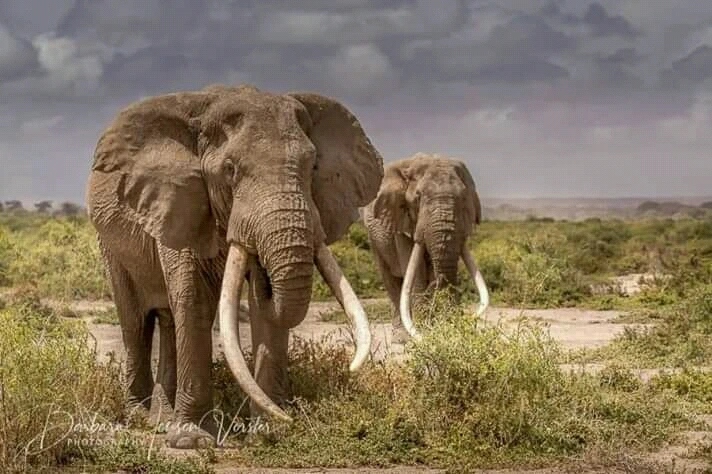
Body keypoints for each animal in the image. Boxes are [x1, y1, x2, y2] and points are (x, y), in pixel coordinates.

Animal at [86, 84, 384, 448]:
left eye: (312, 166)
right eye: (230, 170)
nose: (290, 415)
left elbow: (262, 312)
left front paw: (272, 432)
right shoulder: (179, 201)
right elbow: (194, 298)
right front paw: (192, 441)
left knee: (168, 319)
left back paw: (161, 420)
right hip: (109, 242)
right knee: (135, 320)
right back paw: (139, 418)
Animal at [361, 153, 489, 342]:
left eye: (463, 197)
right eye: (418, 197)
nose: (436, 285)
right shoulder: (400, 221)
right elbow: (416, 271)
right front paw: (425, 333)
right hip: (374, 239)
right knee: (391, 281)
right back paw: (401, 337)